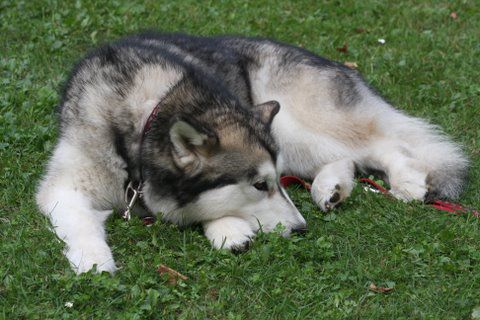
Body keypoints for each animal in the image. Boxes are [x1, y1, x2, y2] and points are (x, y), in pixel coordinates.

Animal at [35, 31, 466, 272]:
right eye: (259, 185)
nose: (301, 229)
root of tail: (337, 63)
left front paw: (226, 228)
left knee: (381, 145)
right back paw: (332, 188)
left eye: (272, 183)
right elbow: (78, 220)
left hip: (293, 124)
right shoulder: (63, 184)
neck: (141, 125)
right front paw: (94, 261)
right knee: (348, 158)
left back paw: (406, 180)